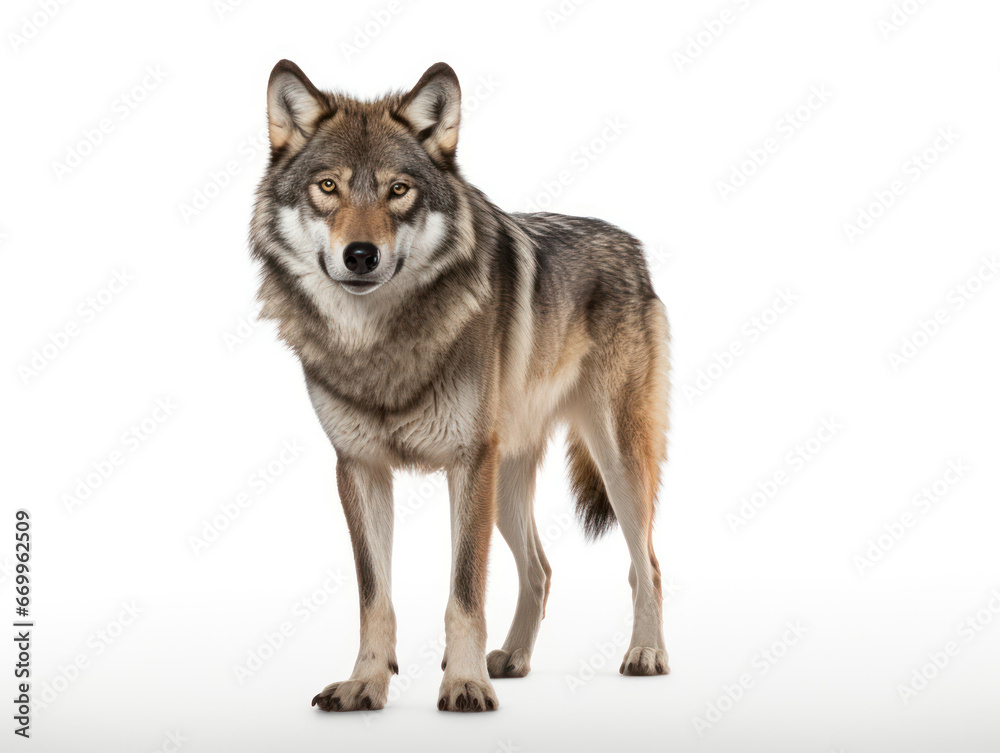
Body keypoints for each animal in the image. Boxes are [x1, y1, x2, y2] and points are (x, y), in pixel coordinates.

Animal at [250, 60, 671, 713]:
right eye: (328, 187)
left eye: (399, 190)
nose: (361, 255)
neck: (381, 346)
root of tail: (632, 246)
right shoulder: (359, 467)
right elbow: (375, 598)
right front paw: (365, 685)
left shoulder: (468, 463)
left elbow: (465, 593)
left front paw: (465, 685)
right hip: (508, 480)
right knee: (541, 568)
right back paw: (514, 659)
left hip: (613, 460)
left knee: (645, 562)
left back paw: (646, 654)